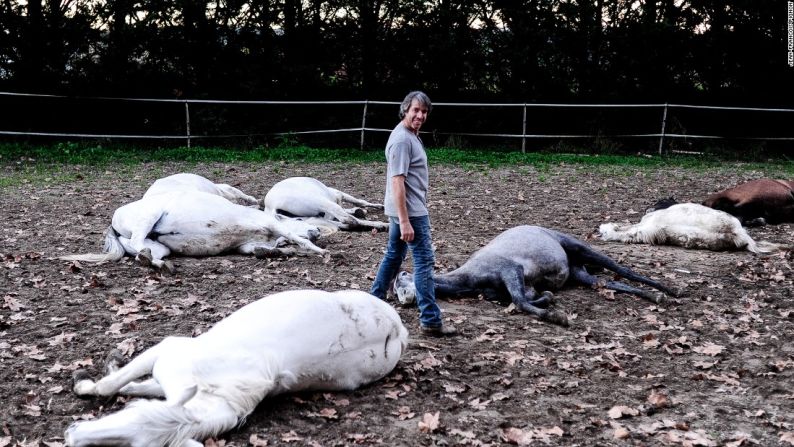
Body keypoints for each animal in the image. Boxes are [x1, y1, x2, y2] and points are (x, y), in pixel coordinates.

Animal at [60, 190, 330, 272]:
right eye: (300, 219)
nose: (317, 231)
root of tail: (115, 218)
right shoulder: (273, 224)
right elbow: (294, 237)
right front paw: (320, 251)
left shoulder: (247, 245)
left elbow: (262, 249)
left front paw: (278, 251)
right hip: (148, 218)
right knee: (137, 242)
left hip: (160, 246)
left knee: (141, 250)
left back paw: (158, 264)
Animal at [64, 290, 406, 447]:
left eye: (132, 441)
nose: (71, 436)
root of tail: (398, 328)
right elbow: (138, 385)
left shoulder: (168, 351)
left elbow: (110, 386)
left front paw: (86, 384)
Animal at [392, 226, 676, 328]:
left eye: (401, 280)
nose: (404, 298)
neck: (472, 277)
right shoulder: (520, 287)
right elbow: (530, 298)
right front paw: (548, 302)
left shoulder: (511, 271)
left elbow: (520, 302)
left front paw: (557, 317)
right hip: (581, 274)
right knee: (611, 283)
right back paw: (656, 296)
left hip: (583, 249)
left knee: (624, 270)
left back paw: (668, 291)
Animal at [596, 202, 784, 252]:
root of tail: (738, 233)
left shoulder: (648, 227)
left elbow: (624, 229)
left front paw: (607, 228)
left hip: (651, 228)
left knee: (630, 234)